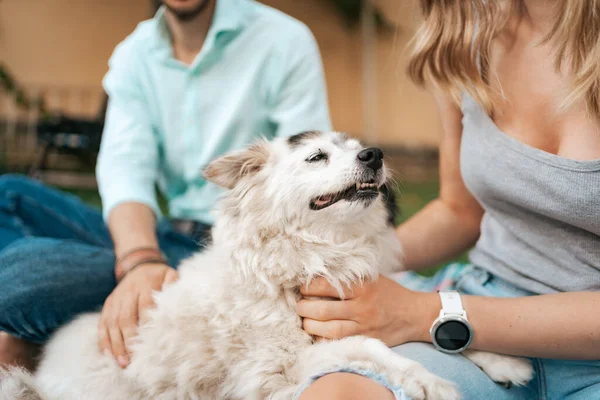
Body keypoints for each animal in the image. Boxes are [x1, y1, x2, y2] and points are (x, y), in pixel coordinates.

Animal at [1, 132, 528, 400]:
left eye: (357, 146)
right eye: (317, 157)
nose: (375, 154)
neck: (309, 258)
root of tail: (40, 376)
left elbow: (421, 326)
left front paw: (504, 361)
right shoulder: (274, 374)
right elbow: (369, 347)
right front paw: (425, 380)